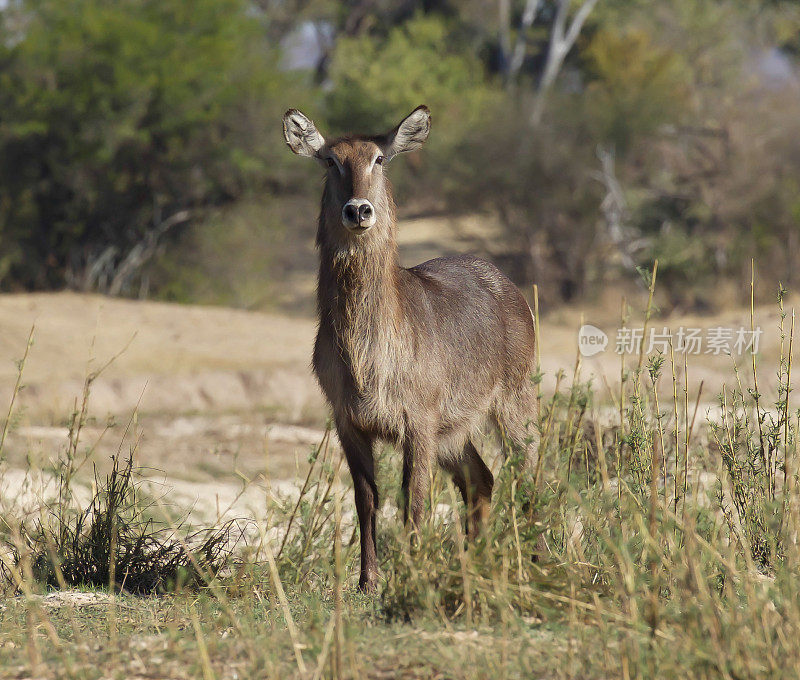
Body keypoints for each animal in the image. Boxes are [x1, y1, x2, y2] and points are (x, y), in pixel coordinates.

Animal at [282, 106, 536, 588]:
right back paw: (472, 563)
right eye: (330, 160)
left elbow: (413, 500)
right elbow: (366, 499)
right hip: (454, 432)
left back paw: (534, 556)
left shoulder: (418, 421)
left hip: (513, 402)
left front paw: (411, 575)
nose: (358, 210)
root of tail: (506, 284)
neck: (367, 356)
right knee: (481, 480)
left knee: (530, 473)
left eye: (379, 159)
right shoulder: (349, 421)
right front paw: (368, 580)